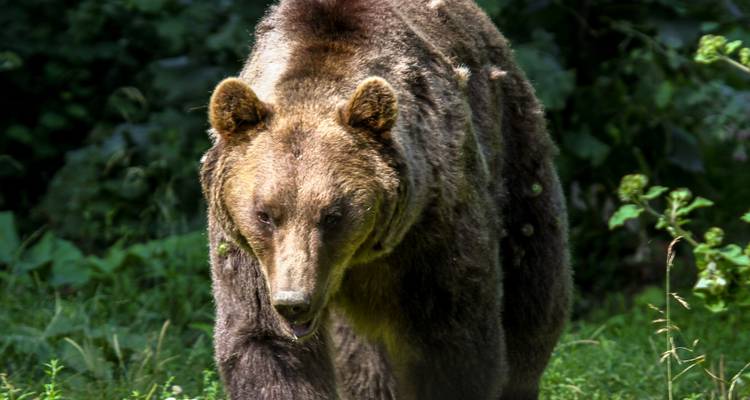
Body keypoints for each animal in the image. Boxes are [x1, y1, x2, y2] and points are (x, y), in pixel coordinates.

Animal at [199, 0, 572, 399]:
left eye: (333, 214)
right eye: (265, 214)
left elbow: (453, 341)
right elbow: (268, 344)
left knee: (534, 284)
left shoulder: (435, 224)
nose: (294, 302)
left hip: (516, 152)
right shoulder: (248, 251)